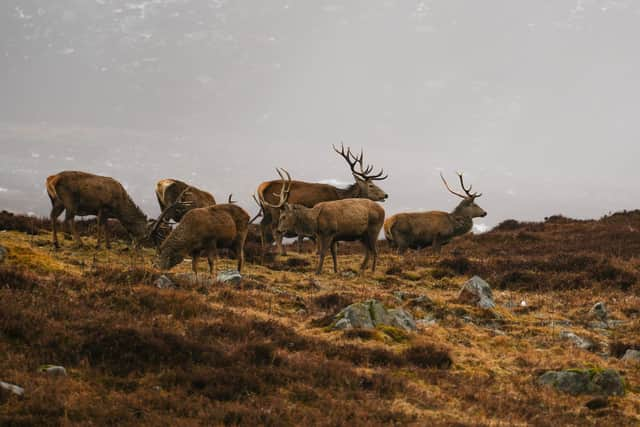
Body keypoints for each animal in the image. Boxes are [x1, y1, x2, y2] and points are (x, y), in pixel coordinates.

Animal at [256, 145, 390, 256]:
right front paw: (319, 252)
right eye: (371, 185)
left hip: (266, 210)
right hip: (275, 209)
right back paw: (281, 252)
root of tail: (261, 187)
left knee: (262, 225)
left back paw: (264, 250)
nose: (386, 195)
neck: (339, 196)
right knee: (275, 229)